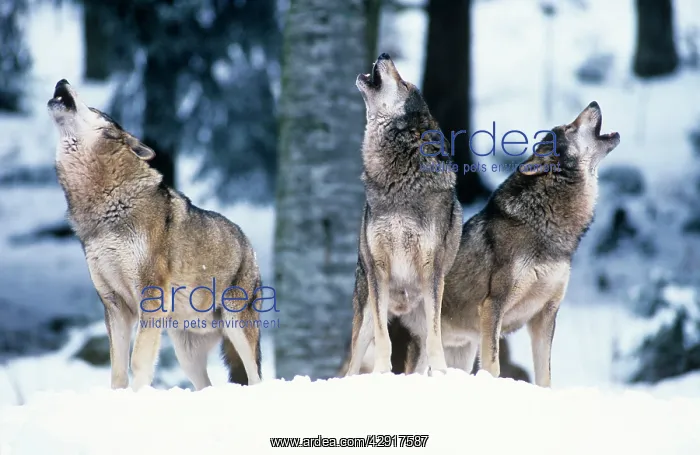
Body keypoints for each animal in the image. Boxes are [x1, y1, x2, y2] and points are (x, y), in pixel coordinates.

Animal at [47, 79, 262, 390]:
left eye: (95, 109)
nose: (62, 81)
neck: (107, 208)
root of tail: (249, 245)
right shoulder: (115, 305)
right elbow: (117, 371)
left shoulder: (149, 297)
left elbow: (138, 361)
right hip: (187, 354)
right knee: (206, 385)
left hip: (237, 328)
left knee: (256, 377)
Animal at [344, 53, 463, 376]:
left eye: (405, 83)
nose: (384, 54)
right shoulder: (378, 270)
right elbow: (384, 339)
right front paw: (381, 373)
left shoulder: (430, 270)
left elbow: (436, 341)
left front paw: (442, 373)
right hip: (366, 315)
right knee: (351, 364)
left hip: (422, 314)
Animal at [434, 101, 620, 387]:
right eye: (569, 127)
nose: (594, 103)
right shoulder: (493, 307)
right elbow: (494, 366)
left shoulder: (546, 315)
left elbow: (545, 375)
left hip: (461, 352)